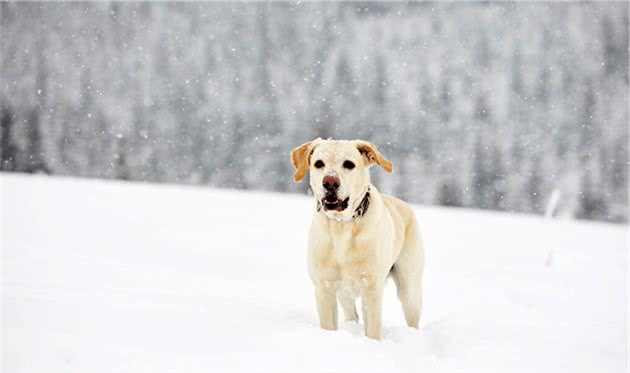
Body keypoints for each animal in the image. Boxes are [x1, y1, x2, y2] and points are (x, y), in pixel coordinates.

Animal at [292, 138, 424, 338]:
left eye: (349, 164)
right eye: (319, 164)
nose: (330, 182)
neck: (342, 227)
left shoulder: (371, 288)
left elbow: (373, 331)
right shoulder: (324, 287)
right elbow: (328, 325)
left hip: (410, 288)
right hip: (344, 294)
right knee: (351, 313)